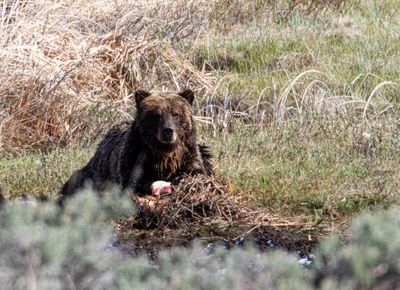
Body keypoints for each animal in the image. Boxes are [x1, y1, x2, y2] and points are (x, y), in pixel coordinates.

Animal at [58, 89, 214, 205]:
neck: (164, 154)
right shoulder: (134, 156)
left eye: (176, 114)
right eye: (157, 114)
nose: (168, 131)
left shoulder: (187, 155)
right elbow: (135, 181)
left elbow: (195, 171)